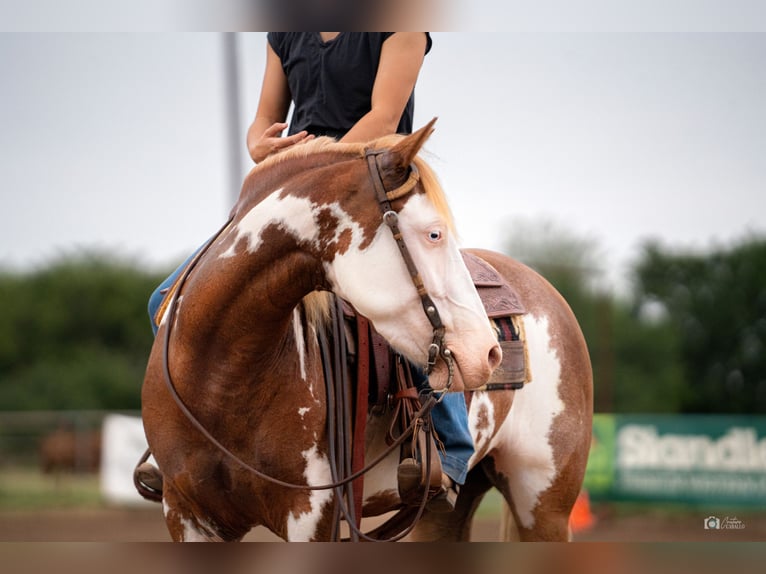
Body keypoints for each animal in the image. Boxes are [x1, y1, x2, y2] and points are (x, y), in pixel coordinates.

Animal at [140, 119, 592, 544]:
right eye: (434, 232)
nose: (488, 353)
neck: (221, 378)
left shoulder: (312, 513)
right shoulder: (185, 513)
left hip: (544, 505)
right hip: (444, 510)